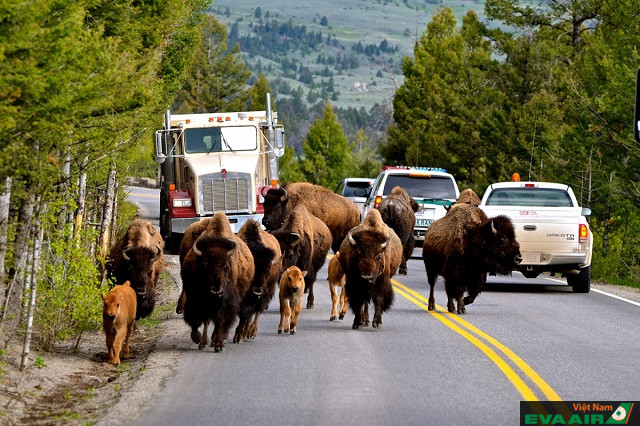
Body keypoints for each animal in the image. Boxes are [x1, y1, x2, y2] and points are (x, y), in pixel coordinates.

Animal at [180, 211, 255, 352]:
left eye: (226, 266)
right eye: (204, 265)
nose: (216, 291)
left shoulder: (226, 303)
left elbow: (220, 321)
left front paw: (219, 345)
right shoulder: (196, 298)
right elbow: (199, 320)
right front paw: (198, 339)